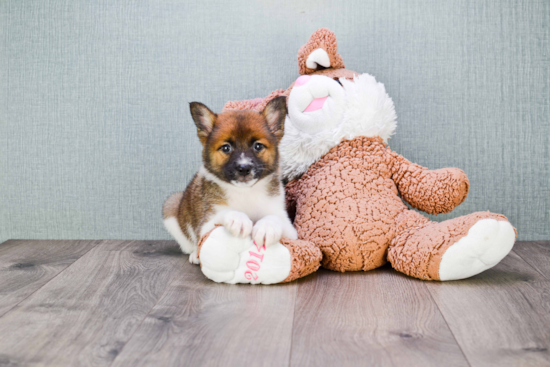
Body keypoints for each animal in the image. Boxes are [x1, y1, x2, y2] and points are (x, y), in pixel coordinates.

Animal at [163, 96, 298, 264]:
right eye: (226, 148)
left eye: (258, 146)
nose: (244, 168)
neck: (245, 192)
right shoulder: (206, 226)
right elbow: (225, 212)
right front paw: (238, 219)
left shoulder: (291, 230)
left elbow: (274, 218)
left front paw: (267, 227)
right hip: (171, 206)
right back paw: (195, 254)